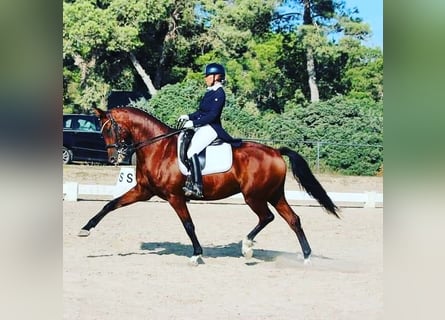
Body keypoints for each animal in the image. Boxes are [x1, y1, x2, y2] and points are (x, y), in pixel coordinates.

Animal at [78, 106, 338, 264]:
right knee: (293, 220)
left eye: (111, 129)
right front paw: (86, 228)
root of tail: (275, 151)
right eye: (102, 132)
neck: (157, 148)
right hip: (274, 194)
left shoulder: (175, 196)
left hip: (254, 196)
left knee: (267, 217)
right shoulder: (144, 191)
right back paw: (306, 257)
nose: (114, 159)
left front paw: (197, 255)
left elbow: (188, 225)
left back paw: (247, 246)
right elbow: (110, 205)